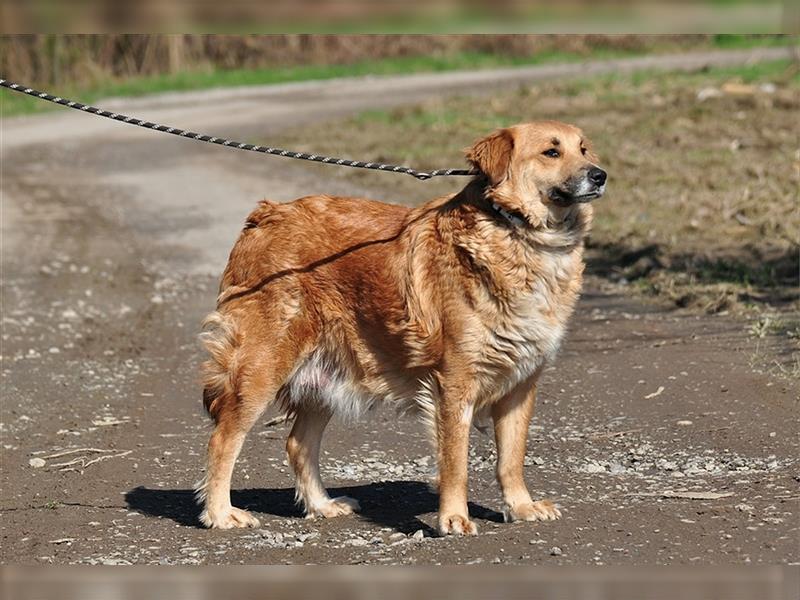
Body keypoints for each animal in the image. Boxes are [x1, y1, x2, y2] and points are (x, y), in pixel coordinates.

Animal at [195, 120, 608, 536]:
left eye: (584, 149)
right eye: (551, 152)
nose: (600, 175)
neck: (519, 232)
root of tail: (265, 215)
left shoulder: (521, 385)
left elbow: (511, 457)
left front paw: (521, 506)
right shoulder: (454, 384)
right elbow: (455, 462)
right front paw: (454, 517)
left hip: (325, 375)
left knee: (298, 443)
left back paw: (322, 505)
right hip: (262, 367)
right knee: (223, 439)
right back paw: (220, 513)